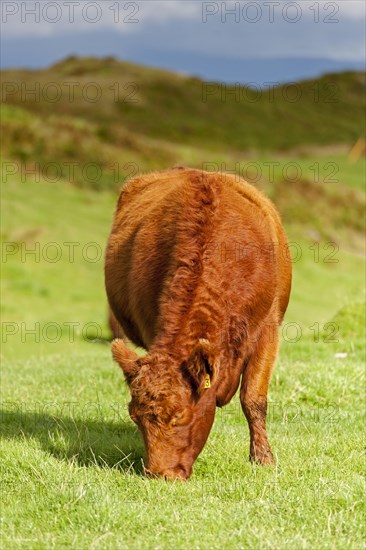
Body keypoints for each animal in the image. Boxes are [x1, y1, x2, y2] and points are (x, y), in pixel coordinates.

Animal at [105, 166, 292, 480]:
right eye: (134, 416)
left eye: (179, 415)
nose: (159, 474)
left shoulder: (269, 331)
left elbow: (254, 399)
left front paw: (263, 458)